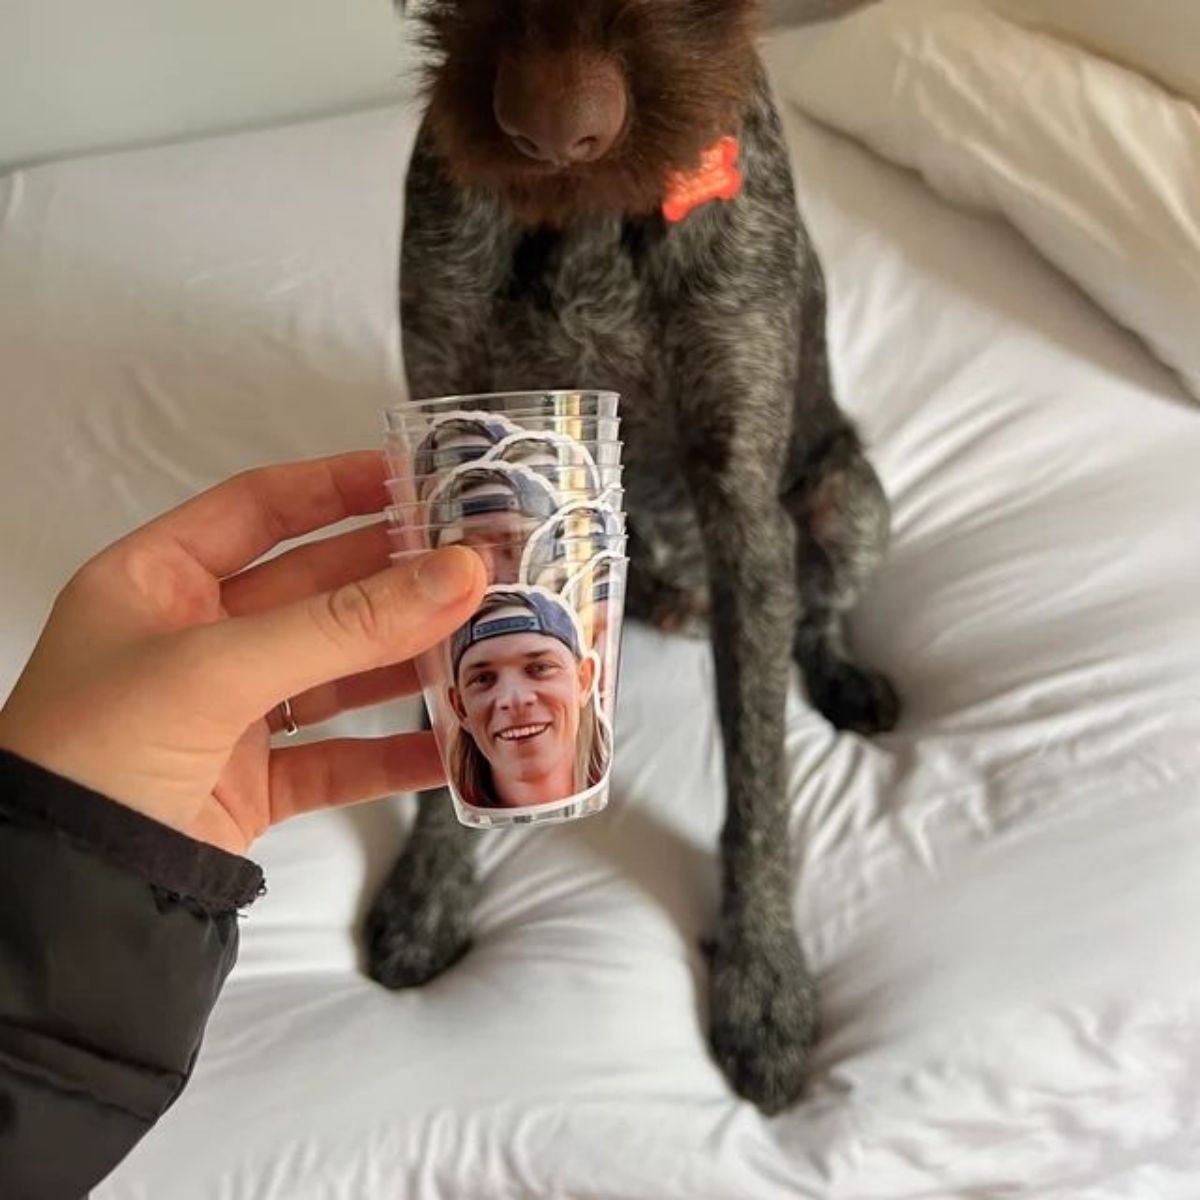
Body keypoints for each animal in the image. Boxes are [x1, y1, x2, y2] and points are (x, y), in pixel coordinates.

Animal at [366, 0, 898, 1114]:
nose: (555, 129)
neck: (586, 215)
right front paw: (433, 883)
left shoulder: (744, 511)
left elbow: (760, 784)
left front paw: (764, 979)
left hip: (846, 498)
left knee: (817, 614)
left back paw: (839, 674)